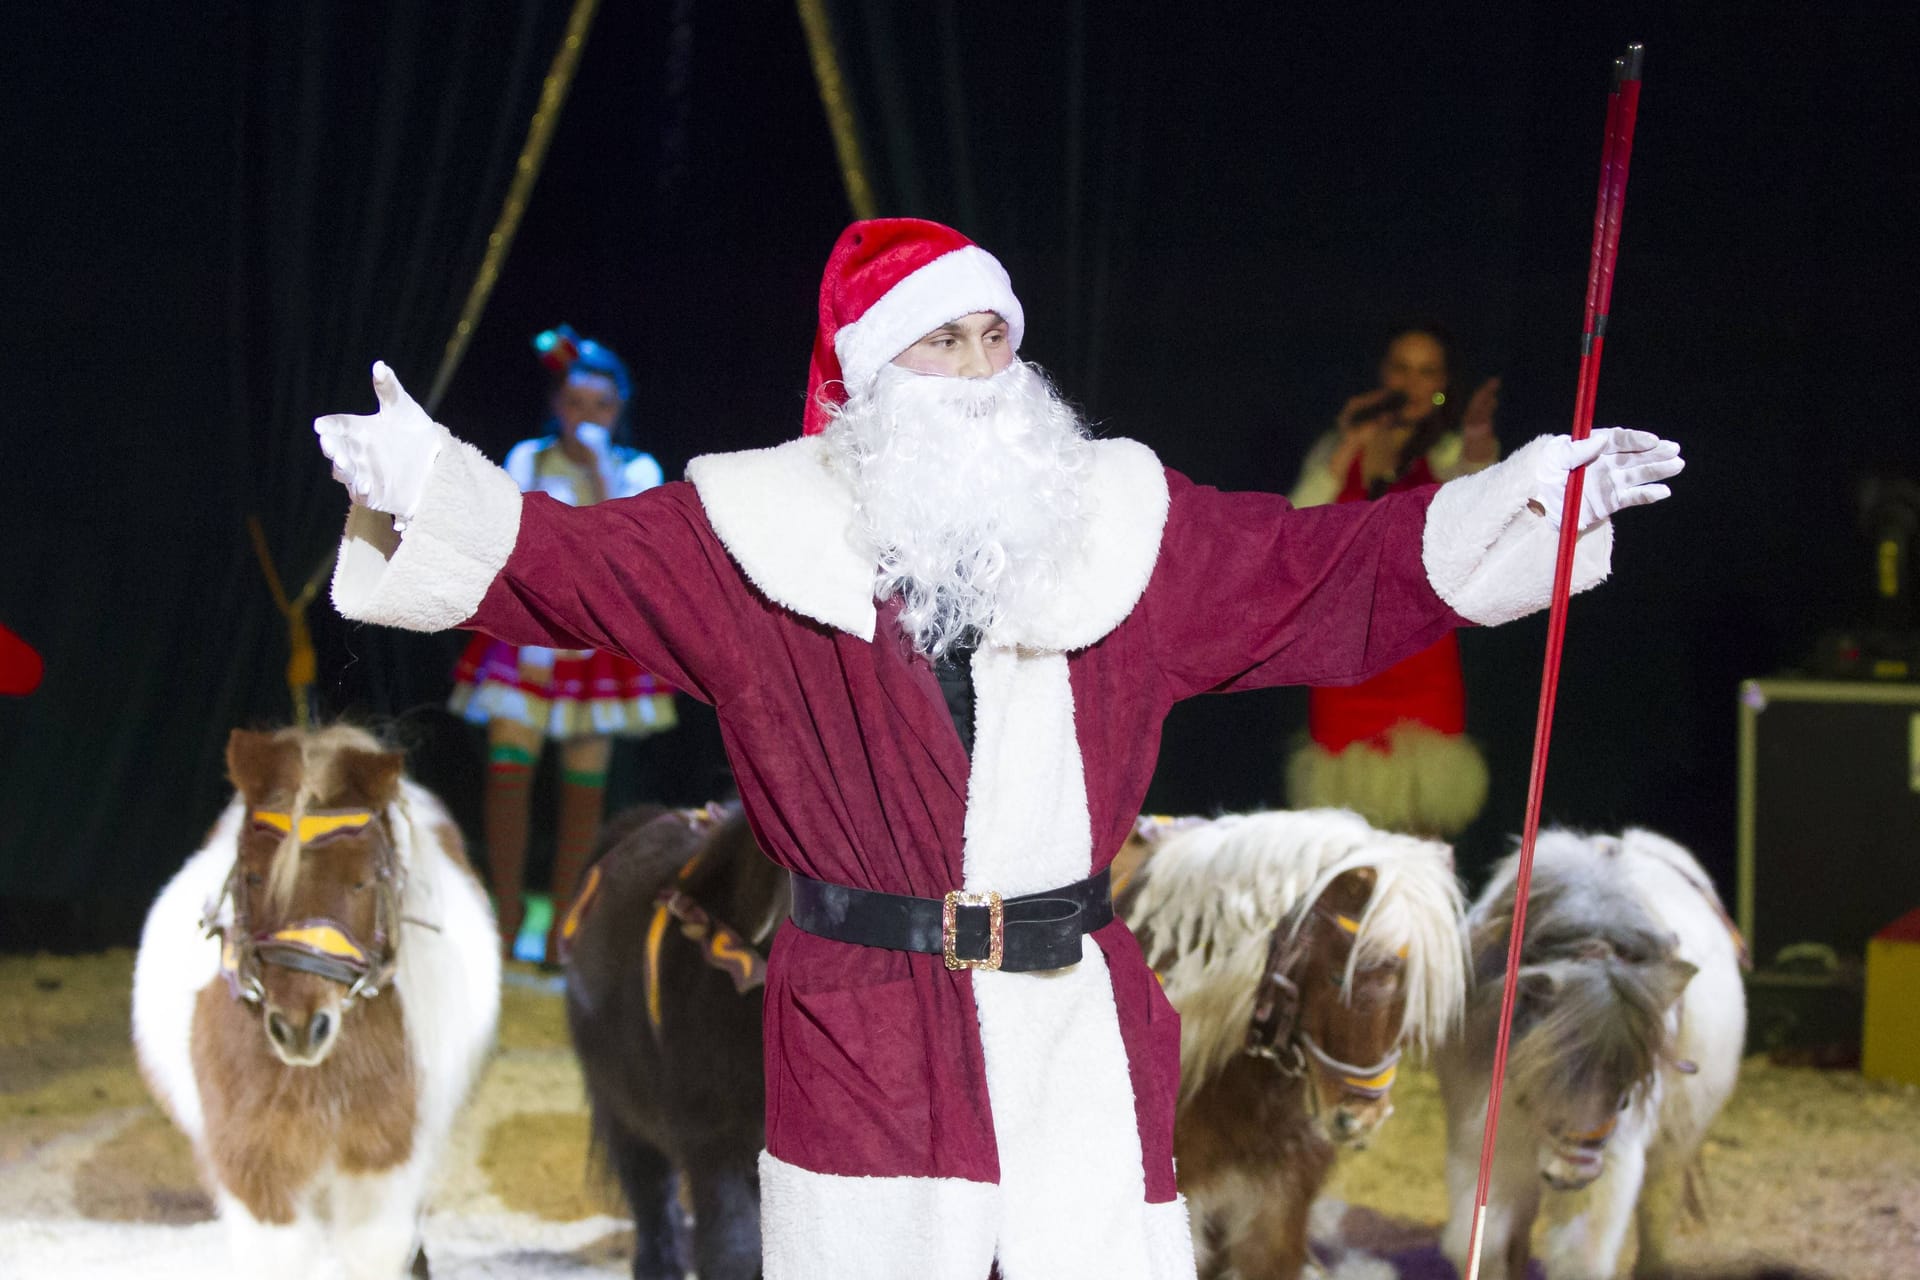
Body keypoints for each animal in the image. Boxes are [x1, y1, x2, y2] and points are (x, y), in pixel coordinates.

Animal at [132, 729, 499, 1280]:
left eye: (363, 880)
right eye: (252, 875)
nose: (300, 1029)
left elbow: (376, 1251)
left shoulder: (386, 1161)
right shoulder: (254, 1163)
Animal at [1443, 825, 1743, 1274]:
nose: (1569, 1176)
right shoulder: (1485, 1140)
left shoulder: (1613, 1158)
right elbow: (1485, 1243)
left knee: (1657, 1216)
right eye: (1545, 1072)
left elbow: (1580, 1257)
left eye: (1625, 1093)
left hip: (1673, 1151)